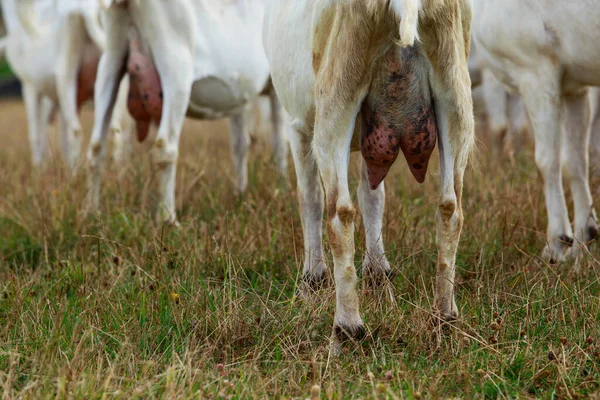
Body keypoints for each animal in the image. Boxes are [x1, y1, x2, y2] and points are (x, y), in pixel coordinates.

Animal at [86, 0, 288, 222]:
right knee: (164, 148)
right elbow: (279, 143)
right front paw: (282, 189)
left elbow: (240, 144)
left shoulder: (239, 96)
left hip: (111, 61)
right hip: (175, 66)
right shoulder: (276, 87)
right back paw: (168, 219)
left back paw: (92, 213)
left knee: (96, 148)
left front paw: (241, 194)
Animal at [264, 0, 476, 344]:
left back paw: (347, 327)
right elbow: (373, 196)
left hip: (336, 97)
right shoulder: (372, 139)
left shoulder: (296, 126)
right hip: (454, 91)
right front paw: (378, 276)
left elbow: (309, 199)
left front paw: (312, 284)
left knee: (339, 213)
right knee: (450, 208)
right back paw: (444, 317)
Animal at [474, 0, 600, 262]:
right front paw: (583, 240)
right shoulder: (574, 89)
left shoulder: (535, 73)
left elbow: (547, 162)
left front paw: (557, 245)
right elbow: (575, 163)